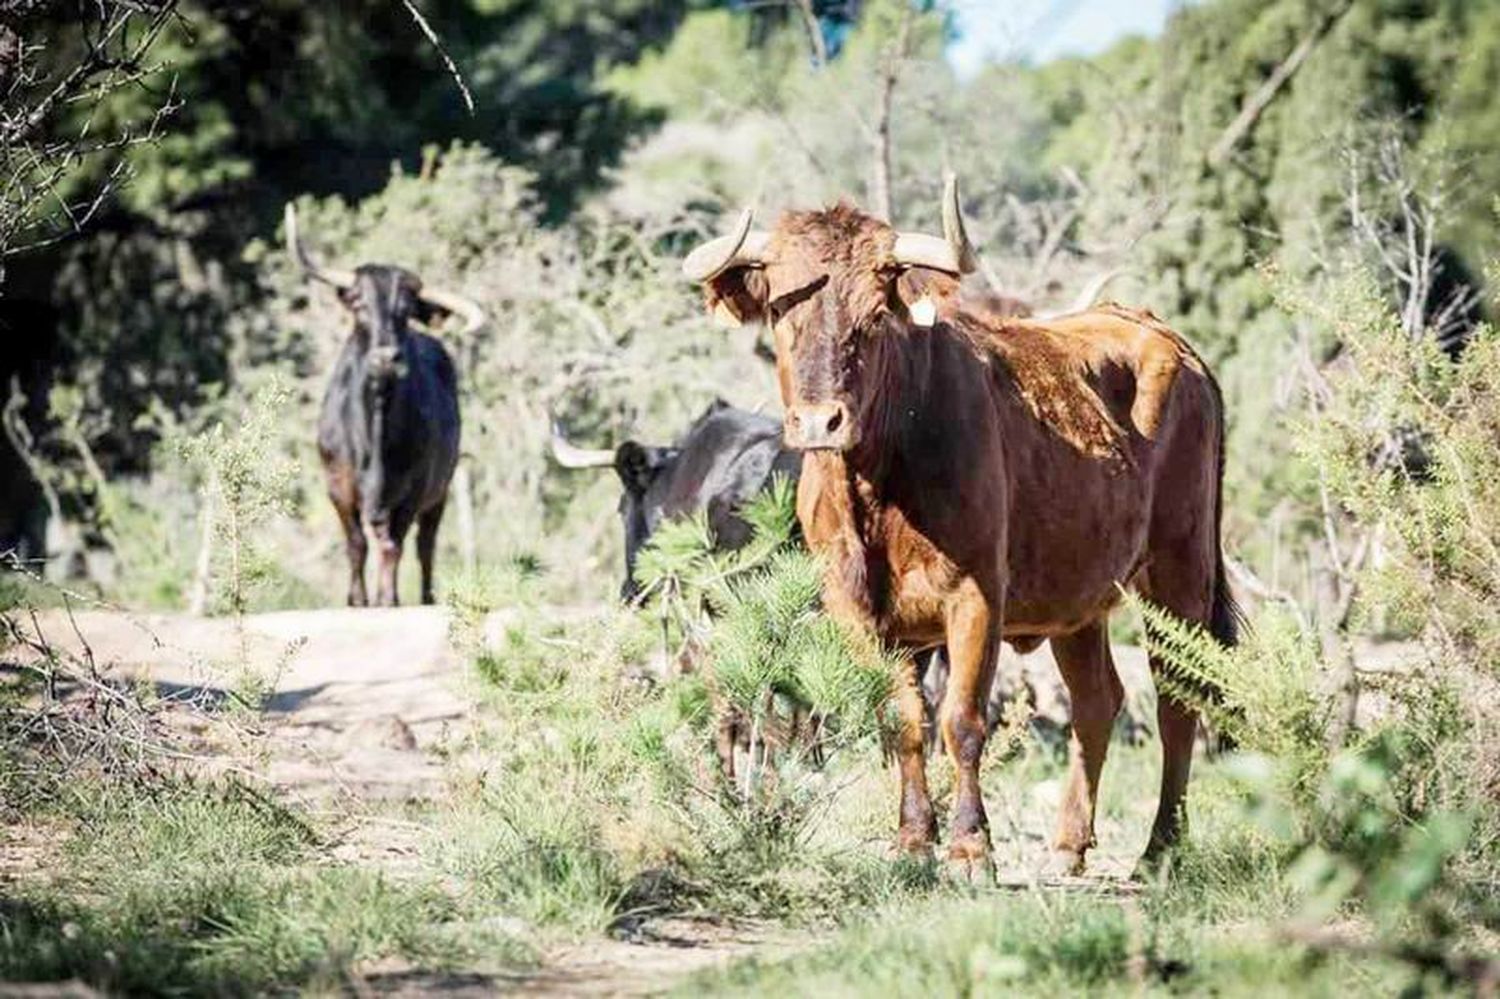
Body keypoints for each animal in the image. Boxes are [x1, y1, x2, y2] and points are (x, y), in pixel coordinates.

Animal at [283, 205, 483, 603]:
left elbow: (395, 545)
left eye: (405, 309)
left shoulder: (413, 488)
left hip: (442, 490)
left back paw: (424, 596)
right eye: (359, 303)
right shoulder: (338, 485)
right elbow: (357, 544)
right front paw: (357, 599)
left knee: (425, 545)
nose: (387, 357)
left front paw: (387, 598)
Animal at [687, 179, 1236, 882]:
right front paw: (913, 842)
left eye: (874, 316)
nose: (818, 421)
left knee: (1177, 699)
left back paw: (1160, 848)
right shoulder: (861, 613)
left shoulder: (976, 597)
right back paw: (1068, 845)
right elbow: (902, 722)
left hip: (1181, 571)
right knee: (1097, 700)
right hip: (1079, 598)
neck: (877, 487)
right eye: (783, 313)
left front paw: (972, 846)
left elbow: (963, 720)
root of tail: (1170, 342)